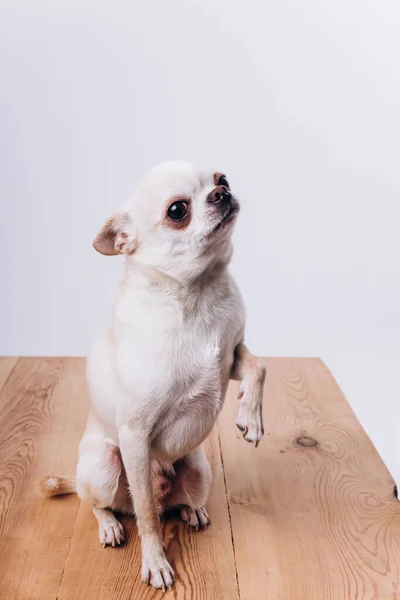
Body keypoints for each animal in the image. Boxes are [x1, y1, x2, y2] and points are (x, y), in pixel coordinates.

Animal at [41, 161, 266, 592]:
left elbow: (258, 367)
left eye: (222, 180)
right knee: (102, 503)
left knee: (175, 502)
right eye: (178, 210)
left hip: (199, 469)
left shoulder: (232, 355)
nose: (222, 193)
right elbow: (146, 515)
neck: (197, 293)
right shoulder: (135, 434)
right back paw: (110, 525)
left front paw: (251, 418)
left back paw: (191, 510)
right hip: (105, 466)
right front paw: (155, 561)